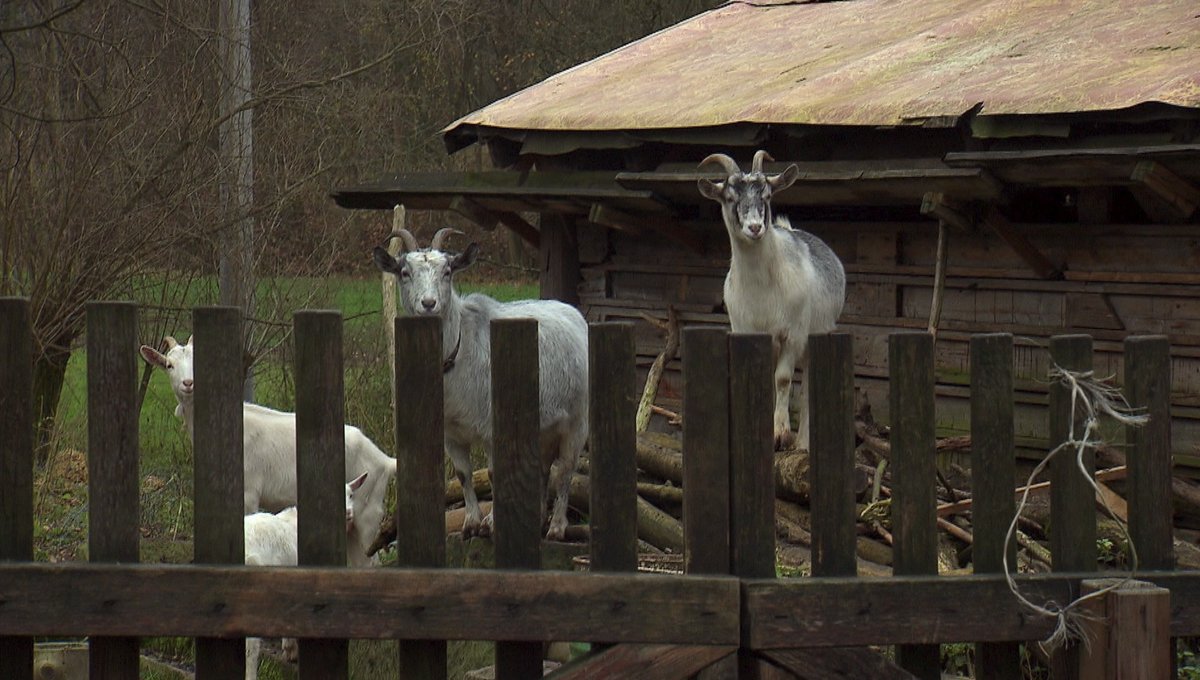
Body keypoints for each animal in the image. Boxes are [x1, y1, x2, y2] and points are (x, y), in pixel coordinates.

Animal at [369, 229, 585, 542]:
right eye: (404, 272)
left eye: (447, 272)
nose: (429, 304)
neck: (458, 355)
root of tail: (571, 311)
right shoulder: (450, 433)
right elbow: (462, 474)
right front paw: (471, 523)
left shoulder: (491, 426)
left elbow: (494, 474)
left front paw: (491, 523)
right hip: (543, 428)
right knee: (544, 468)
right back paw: (538, 520)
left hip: (577, 421)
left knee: (566, 469)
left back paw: (557, 527)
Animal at [700, 148, 849, 453]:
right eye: (730, 198)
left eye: (767, 195)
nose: (756, 227)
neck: (763, 286)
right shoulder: (748, 332)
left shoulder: (792, 334)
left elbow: (781, 379)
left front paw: (780, 432)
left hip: (817, 336)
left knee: (808, 387)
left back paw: (803, 443)